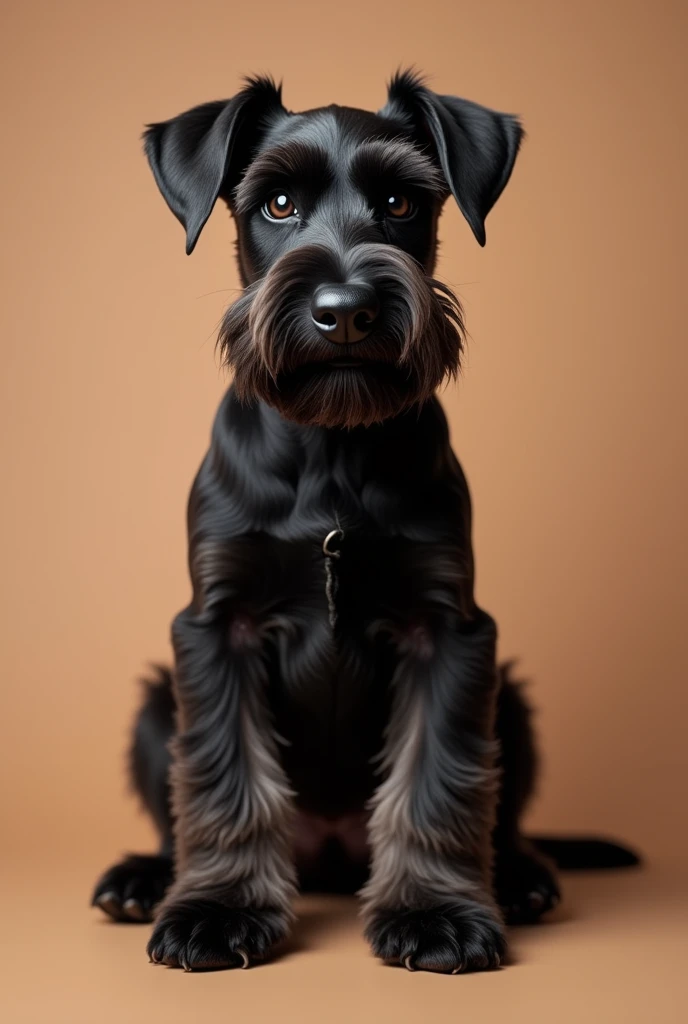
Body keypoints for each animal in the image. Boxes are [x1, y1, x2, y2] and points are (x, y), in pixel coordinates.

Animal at [92, 70, 638, 966]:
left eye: (400, 201)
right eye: (277, 202)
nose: (344, 309)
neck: (332, 451)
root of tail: (329, 853)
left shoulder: (448, 629)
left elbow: (438, 779)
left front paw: (434, 912)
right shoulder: (217, 627)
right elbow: (222, 776)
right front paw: (218, 908)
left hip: (514, 704)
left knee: (500, 817)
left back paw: (521, 876)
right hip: (153, 704)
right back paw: (145, 877)